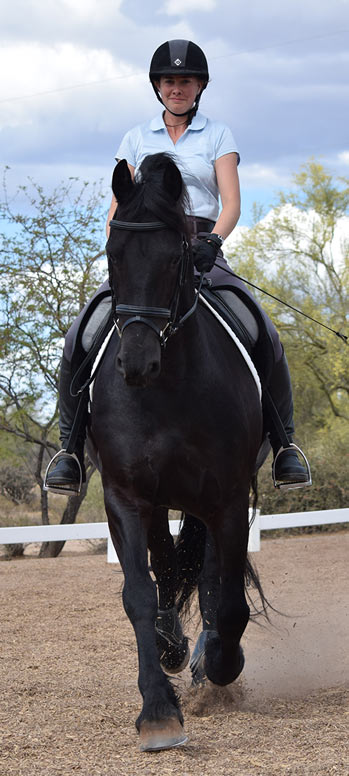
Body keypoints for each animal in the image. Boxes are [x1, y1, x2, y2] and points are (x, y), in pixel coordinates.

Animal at [89, 152, 264, 752]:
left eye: (177, 257)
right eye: (113, 254)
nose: (136, 363)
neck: (166, 391)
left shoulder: (229, 499)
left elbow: (228, 598)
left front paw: (222, 664)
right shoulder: (124, 497)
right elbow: (139, 594)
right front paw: (158, 711)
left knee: (210, 579)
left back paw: (207, 657)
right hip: (161, 501)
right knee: (166, 566)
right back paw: (172, 647)